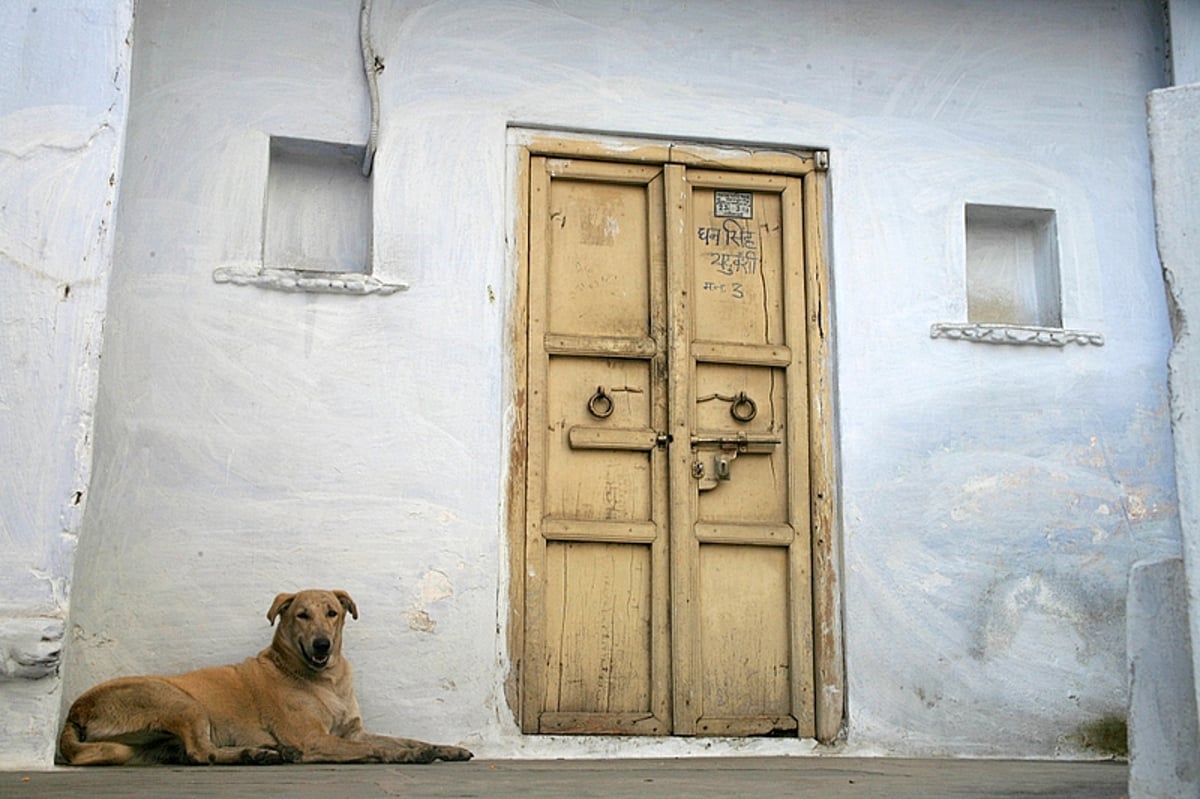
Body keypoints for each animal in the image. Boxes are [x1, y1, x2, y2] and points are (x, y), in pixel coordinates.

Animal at [58, 585, 472, 767]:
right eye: (301, 615)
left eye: (332, 612)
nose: (322, 645)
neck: (325, 680)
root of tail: (76, 710)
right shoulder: (315, 739)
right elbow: (377, 748)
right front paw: (406, 755)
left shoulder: (352, 731)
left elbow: (404, 737)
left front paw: (442, 749)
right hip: (180, 701)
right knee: (200, 753)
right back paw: (255, 753)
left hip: (147, 742)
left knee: (188, 754)